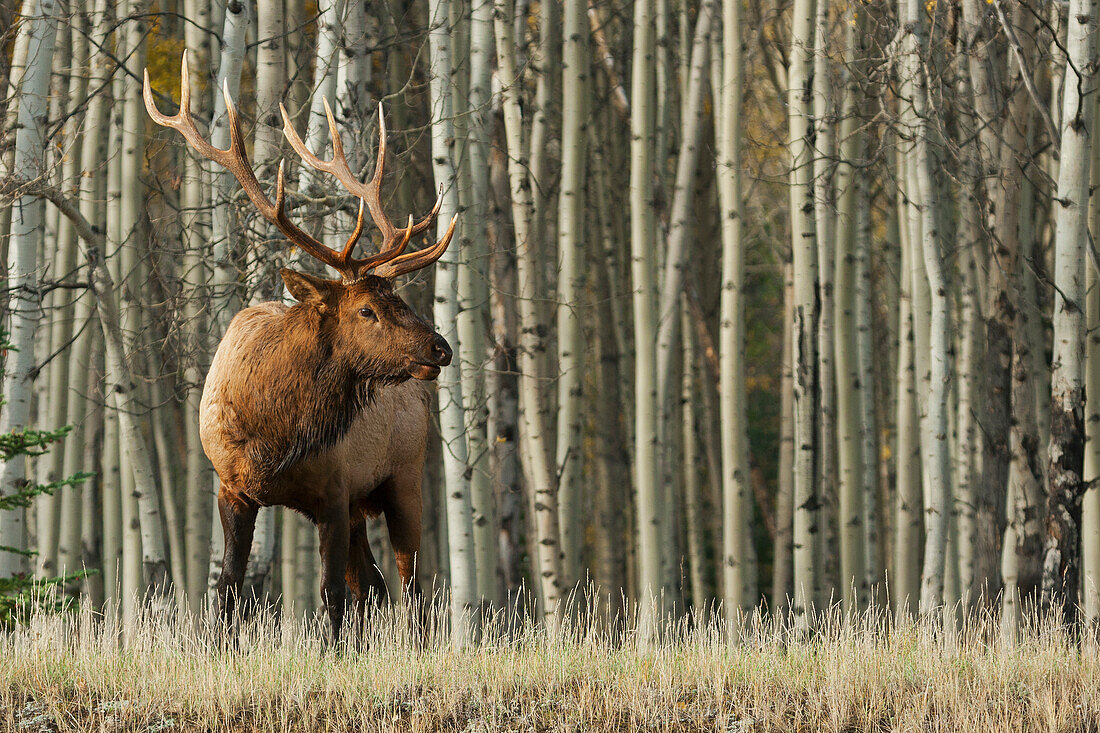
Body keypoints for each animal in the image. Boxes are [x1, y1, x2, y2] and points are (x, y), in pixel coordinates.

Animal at [145, 55, 455, 638]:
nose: (440, 348)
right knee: (376, 586)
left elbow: (331, 595)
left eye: (398, 297)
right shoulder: (233, 488)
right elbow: (229, 590)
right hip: (364, 505)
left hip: (404, 478)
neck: (275, 434)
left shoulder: (334, 490)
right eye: (367, 309)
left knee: (411, 589)